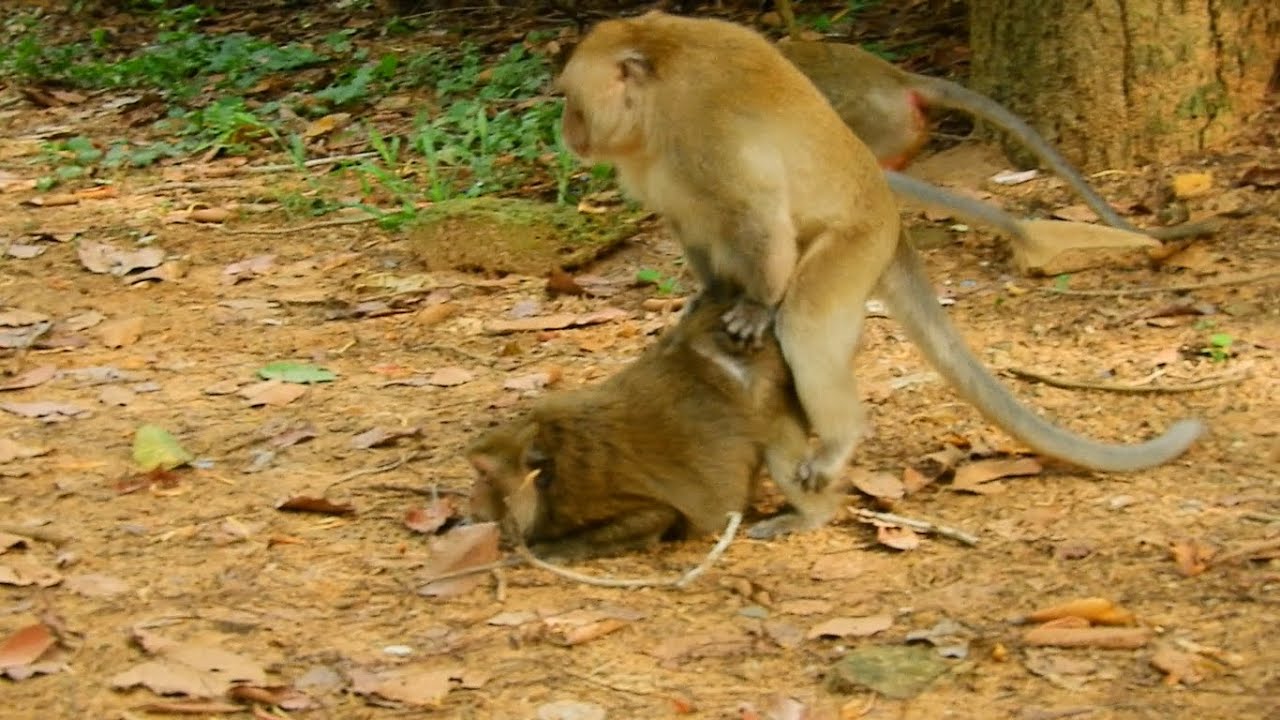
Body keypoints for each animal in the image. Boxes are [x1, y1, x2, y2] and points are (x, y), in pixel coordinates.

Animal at [555, 10, 1205, 520]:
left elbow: (757, 213)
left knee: (807, 321)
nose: (566, 129)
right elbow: (690, 221)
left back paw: (838, 434)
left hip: (854, 244)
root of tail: (890, 229)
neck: (658, 91)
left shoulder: (707, 130)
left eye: (568, 97)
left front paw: (755, 305)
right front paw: (711, 293)